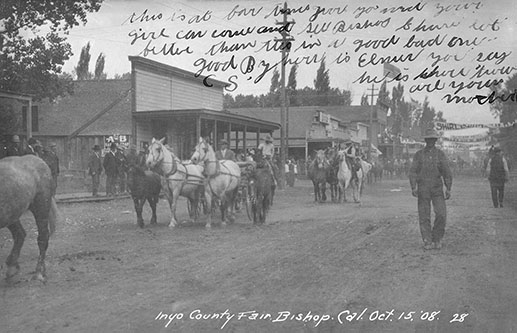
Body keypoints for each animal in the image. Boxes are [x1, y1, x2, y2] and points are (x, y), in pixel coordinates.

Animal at [0, 154, 57, 282]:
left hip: (40, 207)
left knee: (42, 237)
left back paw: (39, 272)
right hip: (12, 213)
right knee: (20, 234)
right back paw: (12, 266)